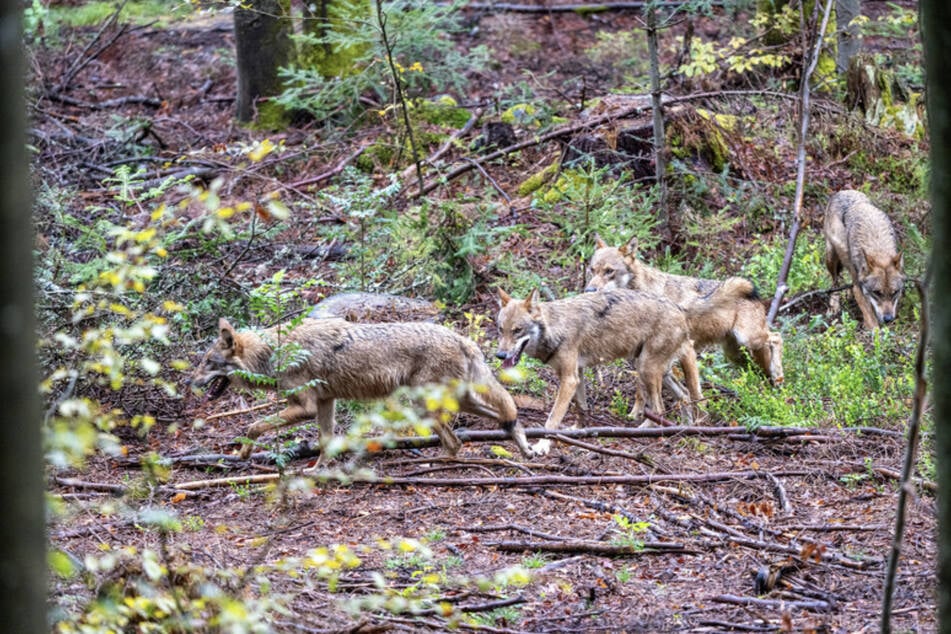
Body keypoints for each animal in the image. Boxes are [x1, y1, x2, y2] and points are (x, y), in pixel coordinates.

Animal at [188, 316, 536, 460]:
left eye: (207, 362)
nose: (190, 383)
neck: (274, 352)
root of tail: (463, 339)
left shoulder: (305, 407)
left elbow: (254, 426)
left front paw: (244, 451)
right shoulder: (326, 403)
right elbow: (325, 444)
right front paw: (318, 474)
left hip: (426, 407)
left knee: (455, 443)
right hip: (460, 401)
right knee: (507, 417)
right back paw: (525, 449)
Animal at [494, 286, 748, 454]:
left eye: (517, 330)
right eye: (501, 329)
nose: (500, 356)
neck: (556, 327)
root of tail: (679, 308)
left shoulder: (569, 379)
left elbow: (552, 420)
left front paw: (543, 445)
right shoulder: (577, 375)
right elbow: (581, 408)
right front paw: (578, 431)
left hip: (646, 369)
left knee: (659, 408)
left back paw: (643, 431)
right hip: (654, 370)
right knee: (684, 397)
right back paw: (682, 429)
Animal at [584, 236, 784, 386]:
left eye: (609, 271)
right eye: (592, 270)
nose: (589, 290)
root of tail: (757, 299)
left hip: (749, 339)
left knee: (777, 337)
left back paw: (778, 376)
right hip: (735, 354)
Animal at [820, 186, 904, 326]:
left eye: (894, 293)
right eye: (877, 293)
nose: (888, 319)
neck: (877, 245)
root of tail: (843, 191)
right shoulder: (859, 289)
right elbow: (871, 320)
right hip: (830, 257)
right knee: (835, 281)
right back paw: (834, 305)